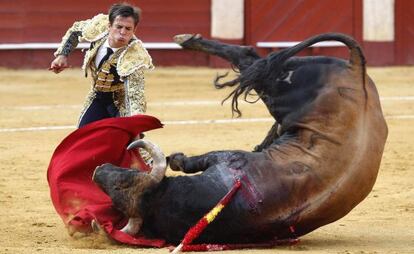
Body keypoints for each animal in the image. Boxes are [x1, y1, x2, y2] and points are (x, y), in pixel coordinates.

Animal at [91, 33, 388, 244]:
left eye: (122, 182)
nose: (98, 170)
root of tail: (356, 69)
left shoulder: (228, 159)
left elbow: (193, 161)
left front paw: (176, 159)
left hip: (279, 87)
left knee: (248, 56)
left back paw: (187, 40)